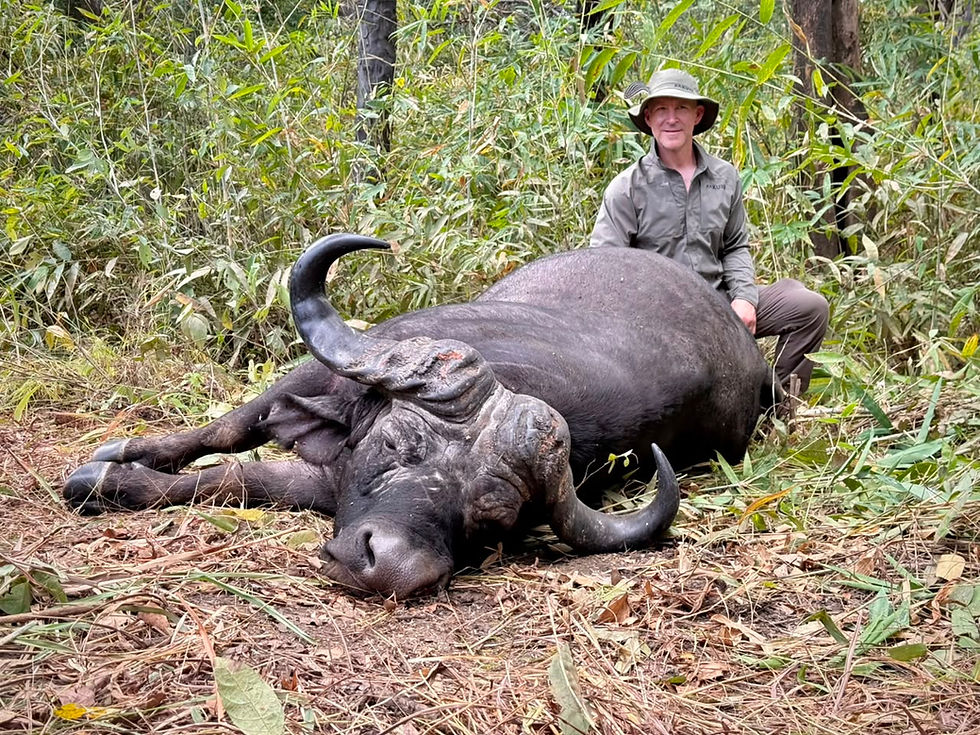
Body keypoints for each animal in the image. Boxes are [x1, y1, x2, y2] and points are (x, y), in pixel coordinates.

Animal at [64, 234, 778, 598]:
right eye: (393, 447)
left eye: (492, 518)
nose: (389, 566)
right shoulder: (319, 377)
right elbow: (229, 430)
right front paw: (117, 460)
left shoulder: (327, 484)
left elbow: (243, 479)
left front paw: (116, 481)